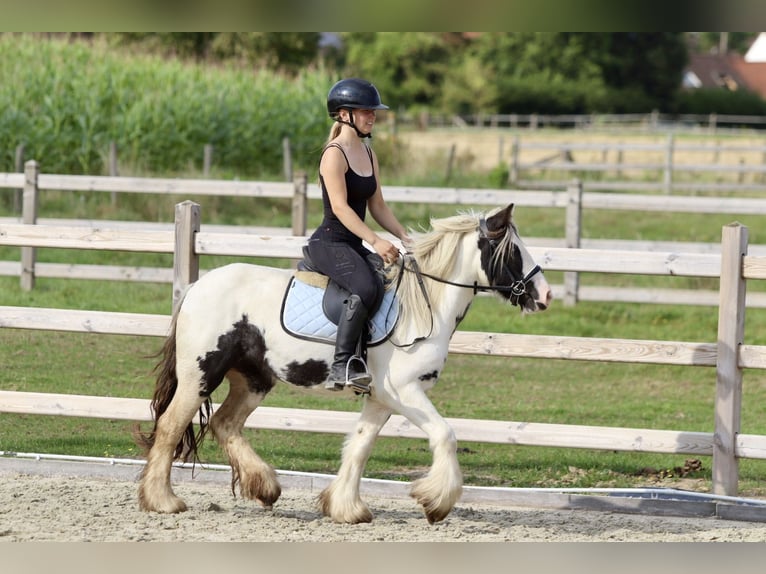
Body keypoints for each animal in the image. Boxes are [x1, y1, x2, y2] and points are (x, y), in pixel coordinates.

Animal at [135, 205, 548, 524]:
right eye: (513, 251)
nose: (544, 294)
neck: (423, 307)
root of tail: (197, 288)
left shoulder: (381, 398)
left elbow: (359, 447)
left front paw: (346, 509)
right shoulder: (404, 391)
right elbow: (444, 435)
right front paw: (436, 503)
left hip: (253, 379)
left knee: (225, 423)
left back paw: (265, 487)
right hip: (201, 374)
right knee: (171, 426)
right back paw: (163, 501)